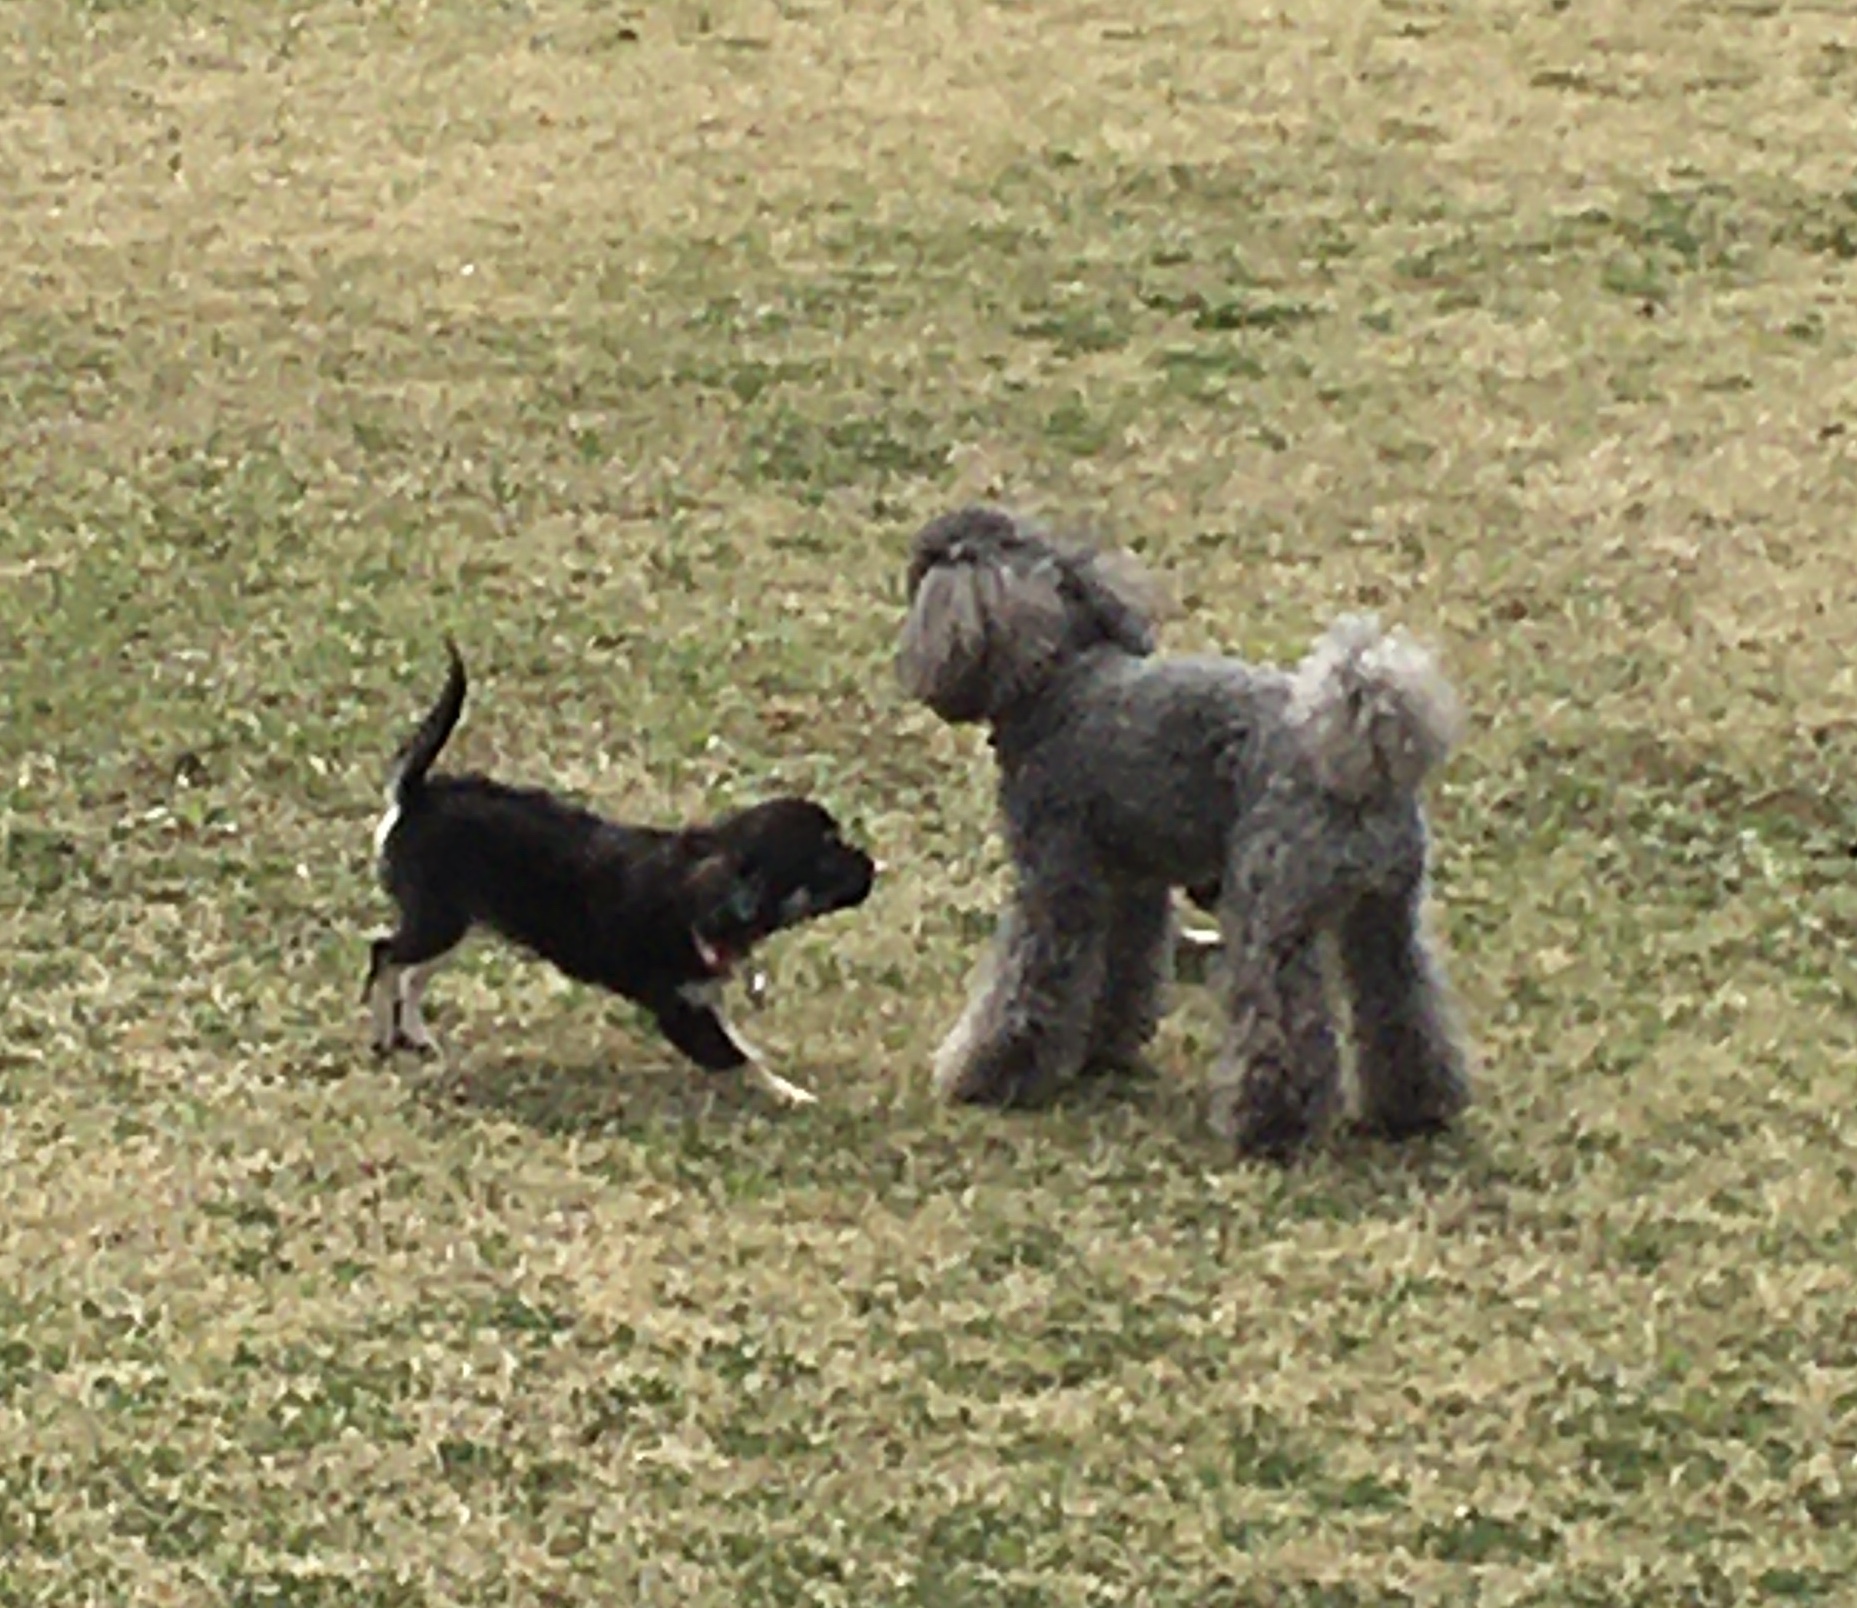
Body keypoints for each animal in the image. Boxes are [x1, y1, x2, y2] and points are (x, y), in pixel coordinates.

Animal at [365, 641, 876, 1106]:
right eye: (826, 858)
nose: (871, 865)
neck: (706, 888)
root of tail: (415, 795)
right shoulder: (681, 1010)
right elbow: (740, 1058)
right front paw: (793, 1094)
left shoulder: (703, 996)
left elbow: (741, 1043)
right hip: (439, 920)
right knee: (385, 956)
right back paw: (383, 1032)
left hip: (458, 923)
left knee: (410, 975)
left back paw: (416, 1034)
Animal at [896, 505, 1472, 1159]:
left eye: (922, 573)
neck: (1059, 678)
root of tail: (1358, 761)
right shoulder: (1132, 885)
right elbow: (1124, 969)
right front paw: (1103, 1049)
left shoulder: (1056, 881)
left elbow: (1026, 983)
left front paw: (985, 1074)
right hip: (1386, 916)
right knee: (1405, 1005)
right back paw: (1414, 1109)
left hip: (1272, 909)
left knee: (1280, 1023)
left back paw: (1270, 1129)